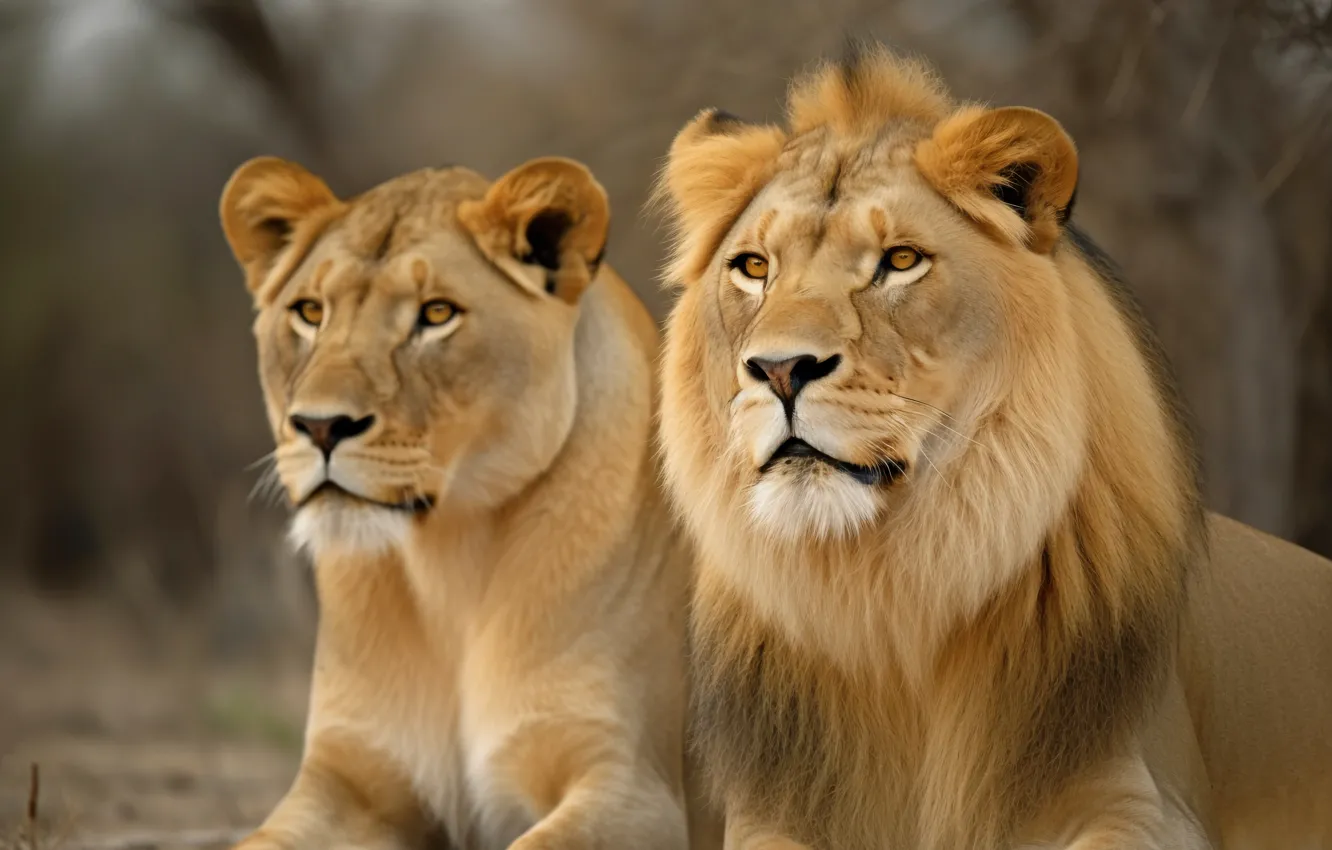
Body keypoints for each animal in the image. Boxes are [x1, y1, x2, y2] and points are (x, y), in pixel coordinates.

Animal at [218, 156, 718, 850]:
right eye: (309, 312)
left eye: (437, 314)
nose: (319, 427)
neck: (448, 563)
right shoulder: (345, 778)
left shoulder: (636, 787)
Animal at [653, 44, 1332, 850]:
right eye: (755, 267)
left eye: (900, 260)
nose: (782, 369)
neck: (883, 595)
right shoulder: (776, 812)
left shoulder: (1137, 794)